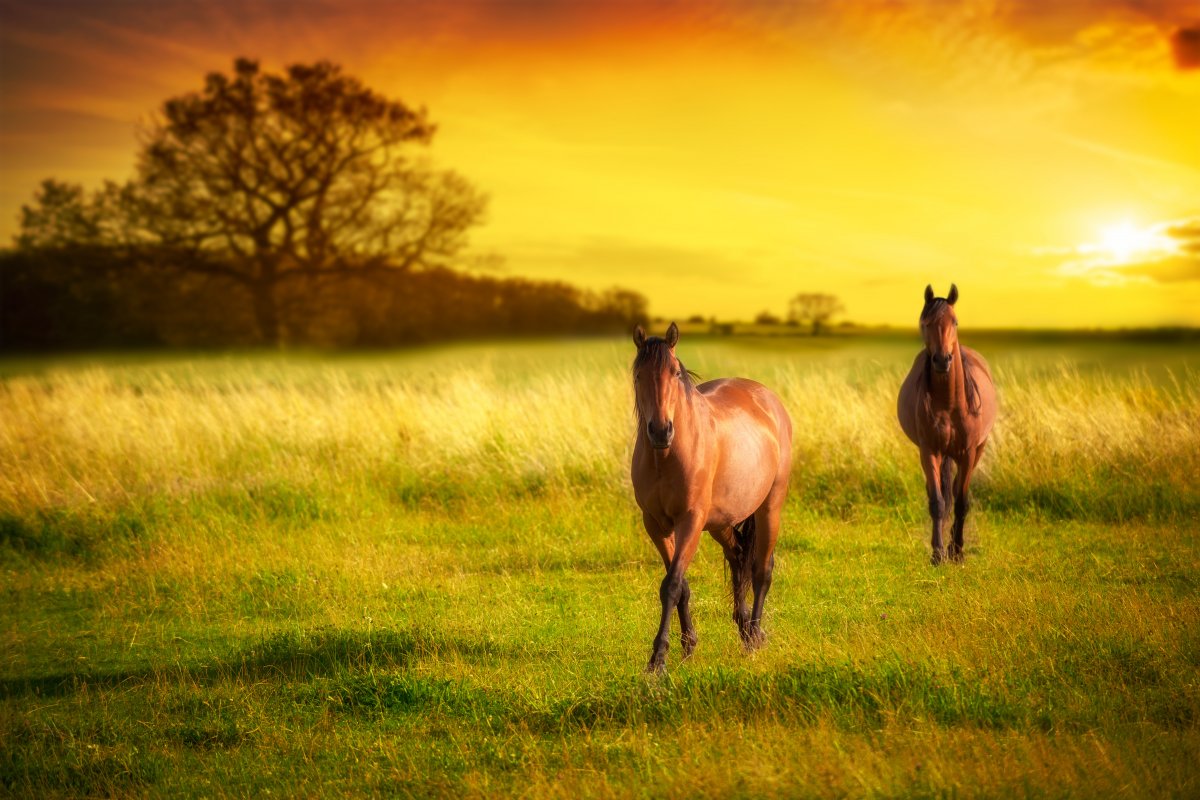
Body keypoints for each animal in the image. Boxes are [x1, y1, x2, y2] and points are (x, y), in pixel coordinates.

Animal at [630, 322, 793, 672]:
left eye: (676, 372)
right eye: (638, 375)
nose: (660, 431)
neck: (665, 457)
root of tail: (767, 398)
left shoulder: (690, 520)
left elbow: (672, 585)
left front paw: (658, 660)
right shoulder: (655, 525)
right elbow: (679, 585)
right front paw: (688, 645)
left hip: (770, 507)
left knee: (761, 570)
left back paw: (754, 637)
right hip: (721, 521)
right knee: (738, 558)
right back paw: (744, 630)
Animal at [897, 284, 997, 565]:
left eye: (955, 321)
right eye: (925, 322)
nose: (942, 360)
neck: (950, 403)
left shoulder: (969, 452)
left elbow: (962, 501)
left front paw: (958, 551)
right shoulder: (930, 451)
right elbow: (937, 502)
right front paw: (938, 553)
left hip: (977, 450)